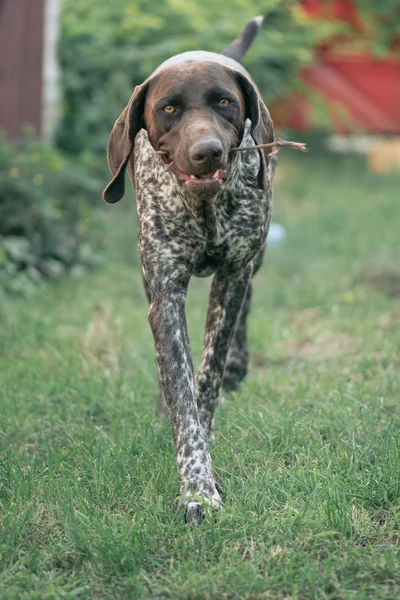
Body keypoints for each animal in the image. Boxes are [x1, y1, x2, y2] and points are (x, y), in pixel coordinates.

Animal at [102, 16, 276, 524]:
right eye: (169, 109)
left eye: (224, 102)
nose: (208, 151)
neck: (204, 210)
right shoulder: (164, 294)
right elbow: (180, 388)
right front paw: (197, 489)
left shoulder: (233, 275)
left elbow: (208, 375)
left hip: (253, 260)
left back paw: (238, 366)